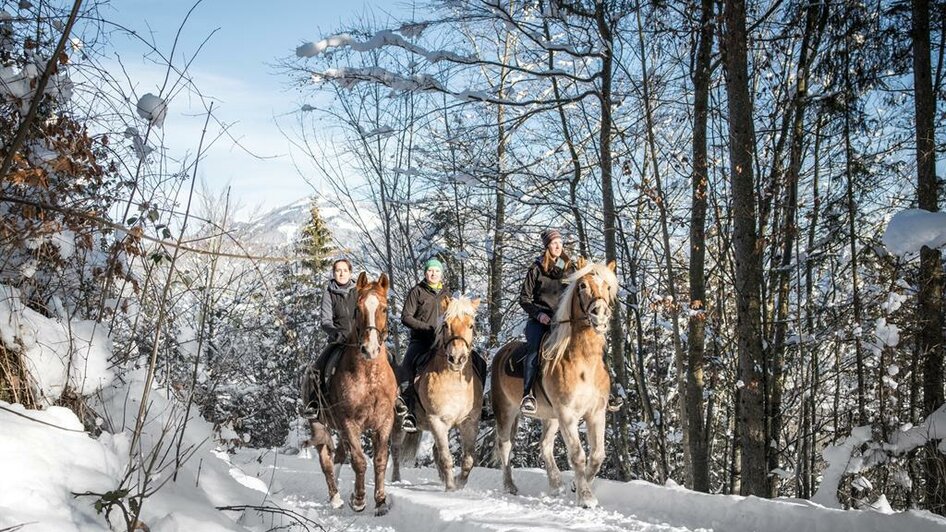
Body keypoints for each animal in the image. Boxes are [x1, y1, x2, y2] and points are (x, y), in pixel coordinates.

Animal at [304, 272, 396, 512]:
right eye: (357, 309)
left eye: (385, 308)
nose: (370, 349)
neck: (369, 375)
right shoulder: (349, 423)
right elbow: (359, 461)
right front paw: (359, 500)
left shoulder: (384, 422)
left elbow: (380, 460)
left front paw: (380, 501)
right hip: (319, 424)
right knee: (326, 461)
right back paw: (335, 497)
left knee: (338, 456)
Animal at [390, 296, 480, 490]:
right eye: (445, 324)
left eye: (471, 325)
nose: (457, 358)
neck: (454, 383)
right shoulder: (437, 421)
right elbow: (446, 457)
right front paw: (451, 488)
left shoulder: (469, 422)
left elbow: (468, 459)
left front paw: (459, 484)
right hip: (398, 423)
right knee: (395, 449)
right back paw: (396, 479)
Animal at [490, 260, 616, 510]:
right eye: (583, 285)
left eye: (608, 286)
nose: (600, 314)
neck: (583, 361)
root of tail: (500, 353)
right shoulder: (567, 414)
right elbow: (577, 454)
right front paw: (585, 497)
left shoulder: (596, 413)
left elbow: (597, 455)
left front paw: (577, 486)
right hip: (507, 411)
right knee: (505, 445)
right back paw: (510, 486)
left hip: (550, 417)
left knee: (545, 445)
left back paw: (556, 483)